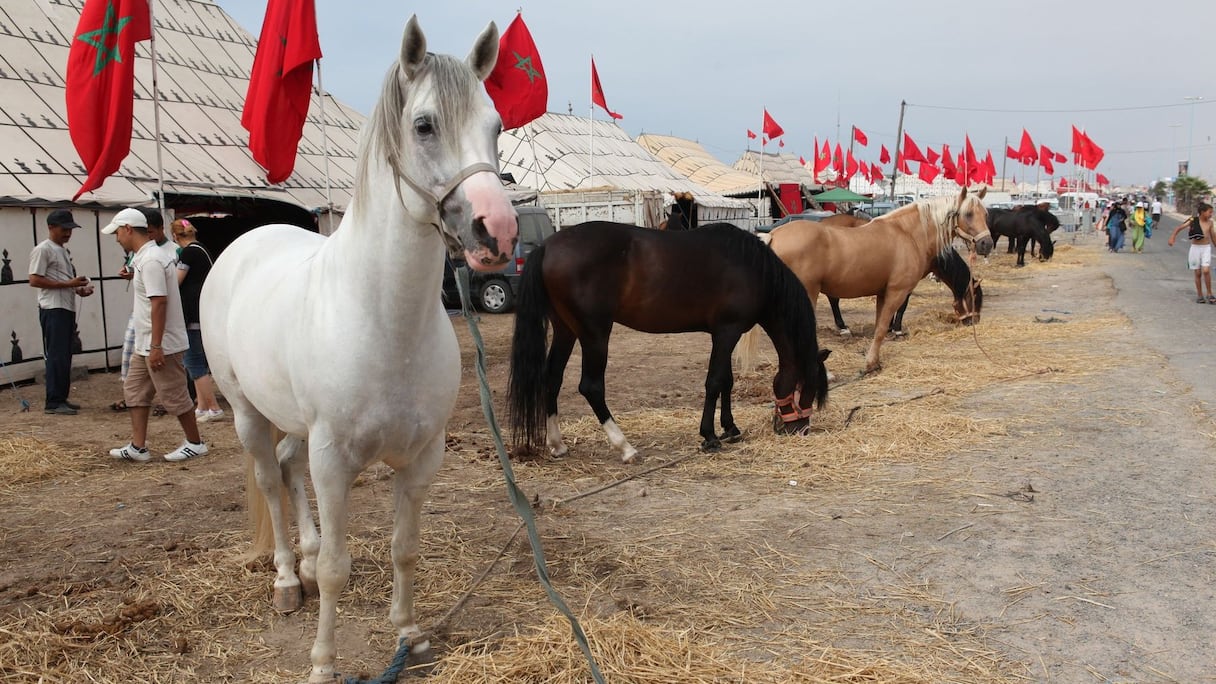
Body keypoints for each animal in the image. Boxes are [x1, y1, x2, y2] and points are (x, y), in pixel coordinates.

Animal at [198, 17, 518, 681]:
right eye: (423, 125)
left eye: (496, 125)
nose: (497, 233)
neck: (385, 325)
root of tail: (245, 243)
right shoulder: (333, 462)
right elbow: (336, 572)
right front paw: (323, 663)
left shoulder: (422, 458)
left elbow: (405, 549)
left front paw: (410, 635)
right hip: (247, 415)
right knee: (270, 480)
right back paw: (288, 580)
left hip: (295, 425)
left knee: (287, 470)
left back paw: (305, 554)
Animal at [508, 221, 831, 460]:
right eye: (808, 387)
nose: (800, 429)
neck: (753, 269)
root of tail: (547, 246)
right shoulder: (727, 332)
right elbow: (715, 381)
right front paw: (710, 436)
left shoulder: (724, 334)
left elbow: (726, 381)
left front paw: (730, 428)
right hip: (594, 334)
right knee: (591, 387)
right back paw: (625, 447)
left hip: (566, 330)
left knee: (552, 379)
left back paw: (558, 444)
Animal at [739, 188, 987, 374]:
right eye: (968, 214)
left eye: (985, 213)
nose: (987, 243)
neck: (907, 234)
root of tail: (773, 236)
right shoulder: (898, 291)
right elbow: (884, 326)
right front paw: (870, 362)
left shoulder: (883, 292)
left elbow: (880, 326)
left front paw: (875, 362)